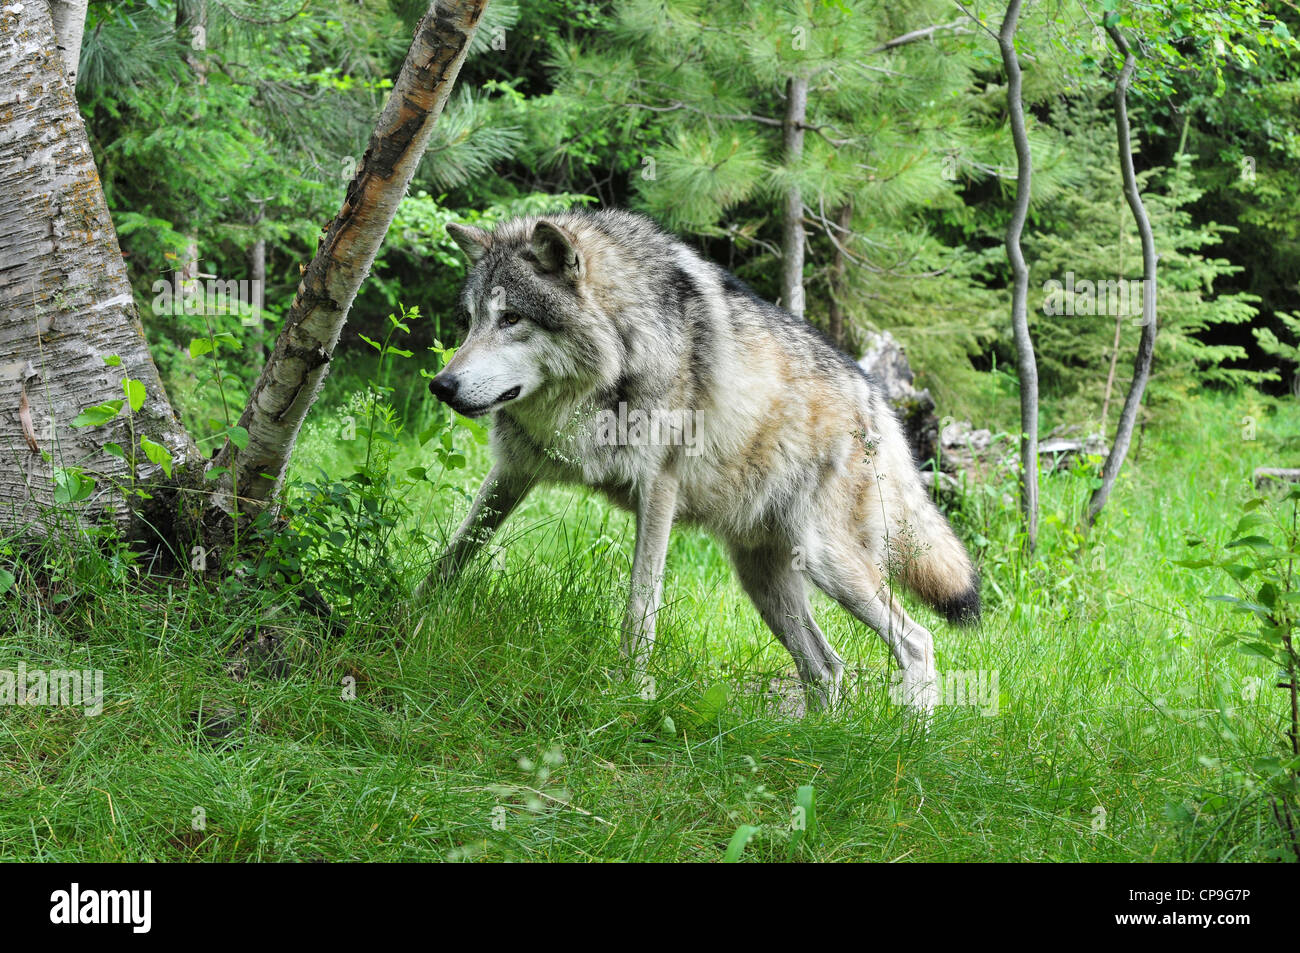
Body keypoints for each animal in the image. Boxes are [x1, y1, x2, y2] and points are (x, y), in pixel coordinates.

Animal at [421, 210, 977, 712]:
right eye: (471, 321)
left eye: (512, 318)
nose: (441, 386)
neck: (623, 349)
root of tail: (877, 400)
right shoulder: (512, 473)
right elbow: (451, 558)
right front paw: (414, 618)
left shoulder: (658, 492)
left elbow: (640, 608)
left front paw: (628, 694)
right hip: (764, 580)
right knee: (826, 668)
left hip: (828, 562)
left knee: (917, 642)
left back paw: (911, 739)